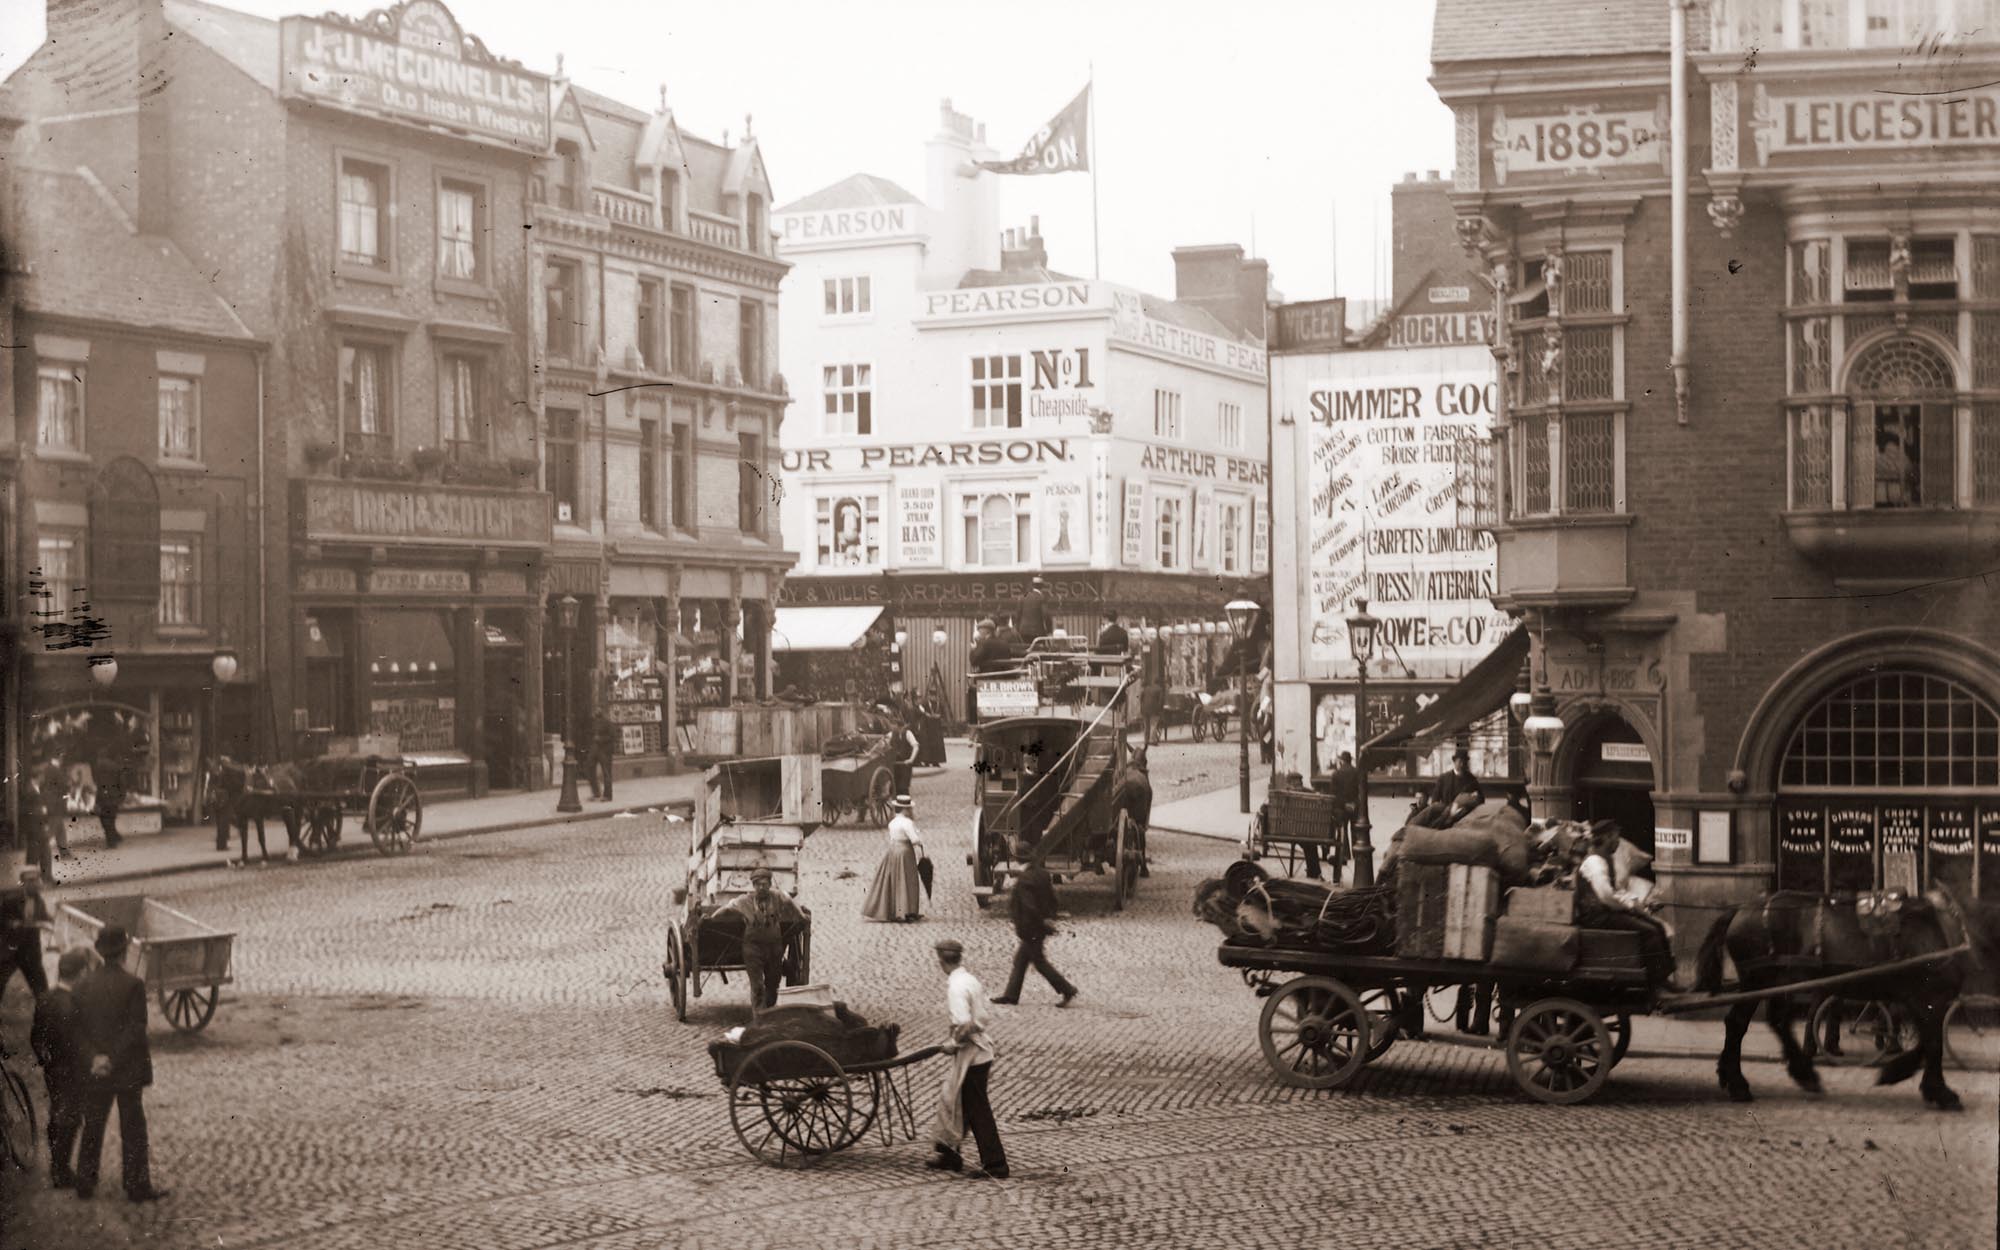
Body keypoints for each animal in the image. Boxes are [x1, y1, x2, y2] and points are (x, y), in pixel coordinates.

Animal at [1688, 888, 2000, 1112]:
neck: (1950, 928)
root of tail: (1741, 908)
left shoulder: (1921, 1002)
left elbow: (1927, 1042)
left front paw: (1907, 1076)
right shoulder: (1929, 999)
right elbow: (1933, 1044)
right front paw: (1937, 1090)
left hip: (1777, 981)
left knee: (1772, 1021)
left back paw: (1792, 1074)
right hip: (1759, 979)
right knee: (1740, 1023)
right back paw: (1741, 1084)